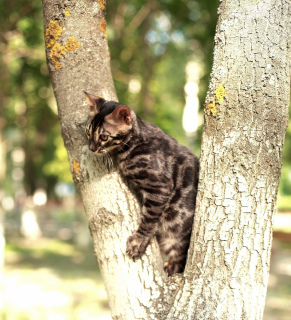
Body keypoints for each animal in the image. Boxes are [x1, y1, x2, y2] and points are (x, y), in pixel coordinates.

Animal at [83, 92, 200, 276]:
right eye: (88, 132)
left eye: (104, 137)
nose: (92, 148)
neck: (135, 143)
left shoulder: (160, 187)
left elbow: (149, 218)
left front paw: (138, 242)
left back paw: (172, 265)